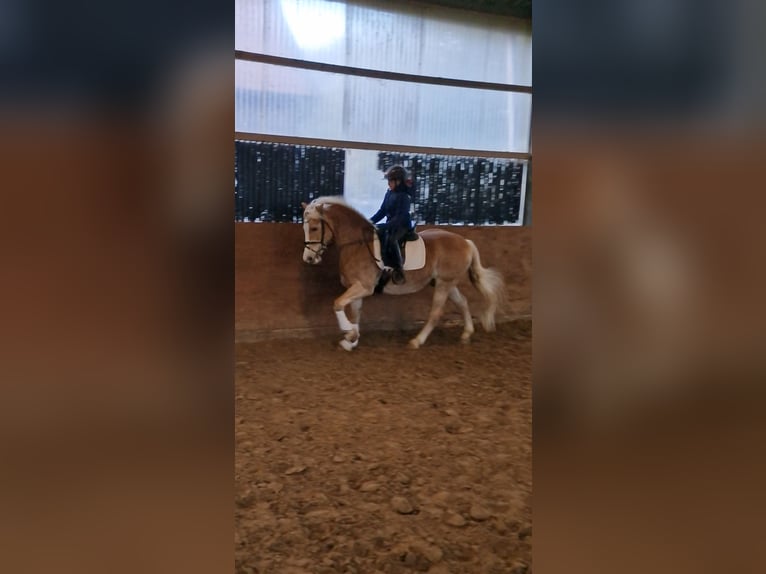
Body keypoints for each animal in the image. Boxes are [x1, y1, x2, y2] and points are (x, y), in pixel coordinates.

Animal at [302, 197, 510, 352]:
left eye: (314, 228)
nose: (308, 258)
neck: (357, 243)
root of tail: (466, 242)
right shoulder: (356, 288)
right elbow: (356, 315)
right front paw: (351, 340)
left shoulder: (364, 287)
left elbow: (337, 303)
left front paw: (347, 333)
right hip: (445, 282)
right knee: (463, 302)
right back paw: (466, 334)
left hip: (444, 283)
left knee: (436, 312)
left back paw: (417, 341)